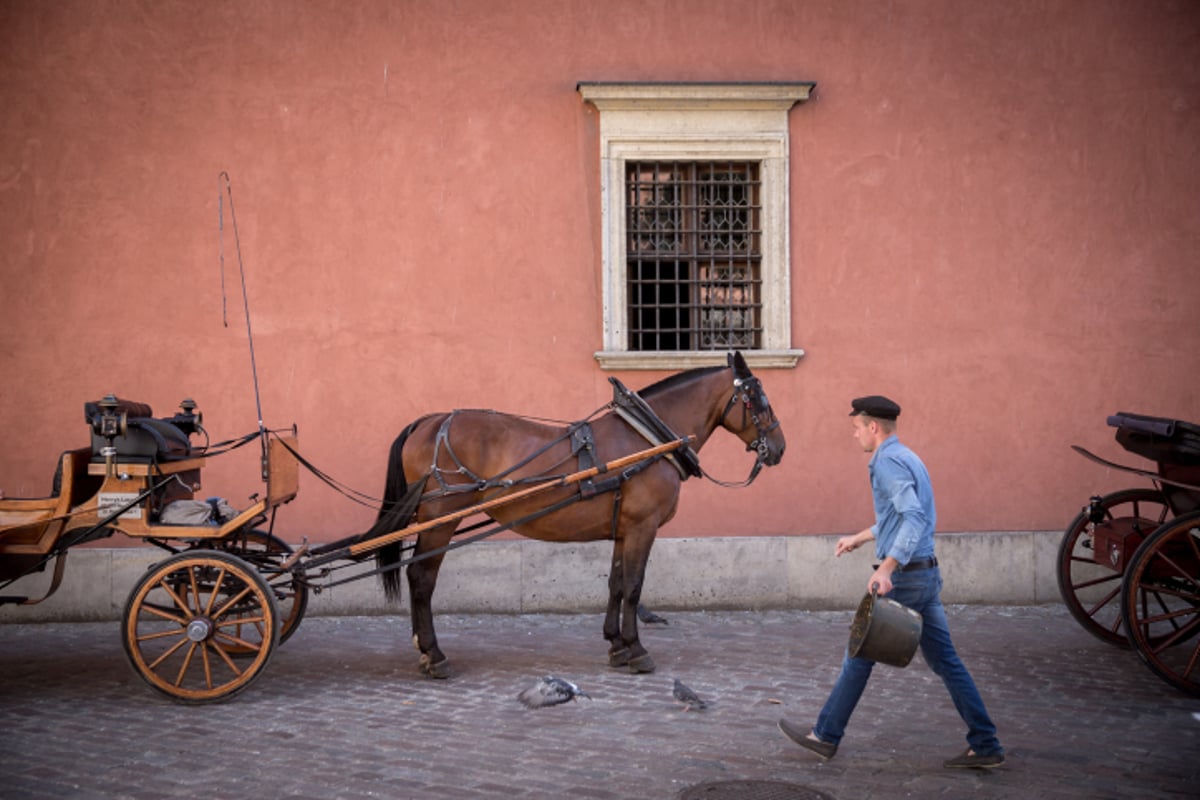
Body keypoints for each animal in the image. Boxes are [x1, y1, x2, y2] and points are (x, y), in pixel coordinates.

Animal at [374, 352, 787, 681]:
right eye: (758, 399)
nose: (779, 447)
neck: (646, 440)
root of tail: (431, 421)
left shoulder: (624, 529)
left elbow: (616, 584)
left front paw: (617, 645)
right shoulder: (643, 526)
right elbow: (634, 586)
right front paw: (637, 649)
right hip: (441, 518)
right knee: (421, 578)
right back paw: (434, 654)